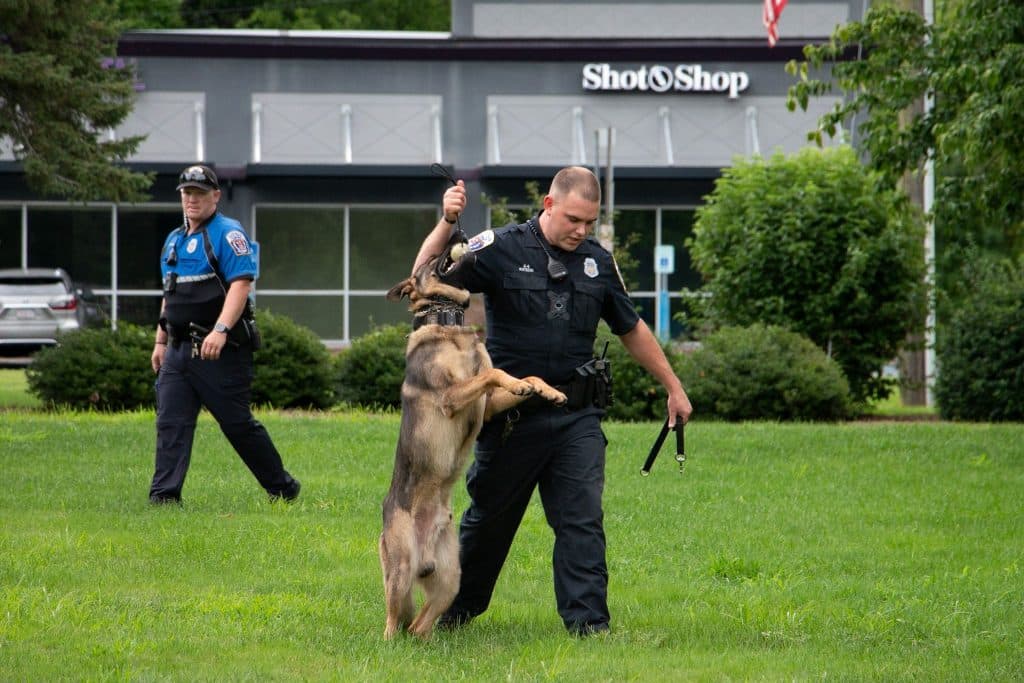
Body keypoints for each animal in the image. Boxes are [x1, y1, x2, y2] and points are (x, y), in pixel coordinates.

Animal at [380, 232, 565, 638]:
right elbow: (492, 374)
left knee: (419, 626)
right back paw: (388, 642)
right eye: (432, 255)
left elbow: (522, 375)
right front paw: (523, 385)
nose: (459, 232)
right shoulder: (452, 397)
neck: (447, 319)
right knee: (393, 621)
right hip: (400, 572)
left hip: (451, 578)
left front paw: (548, 391)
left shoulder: (488, 404)